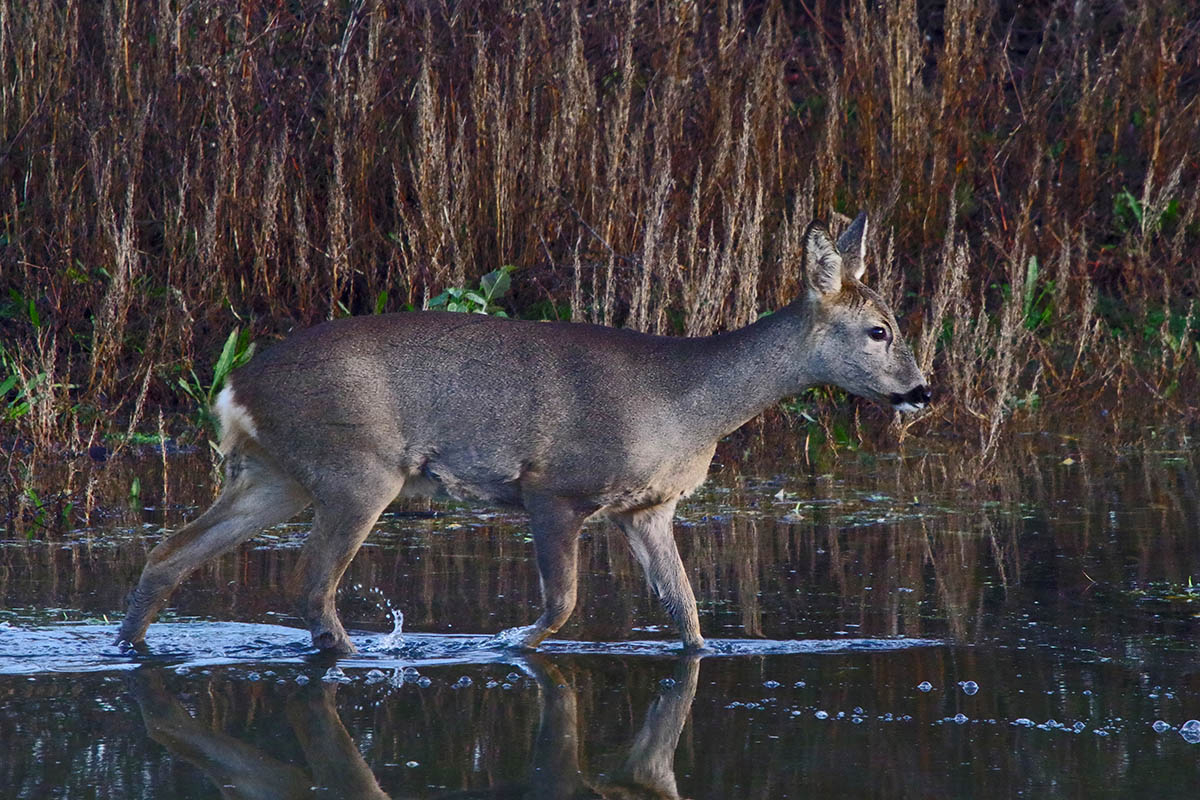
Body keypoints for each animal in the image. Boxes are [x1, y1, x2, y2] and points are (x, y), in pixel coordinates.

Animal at [114, 211, 926, 652]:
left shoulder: (649, 508)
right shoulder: (554, 488)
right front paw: (505, 647)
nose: (922, 390)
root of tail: (233, 389)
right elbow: (560, 604)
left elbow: (688, 614)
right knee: (311, 584)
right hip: (357, 469)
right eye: (879, 330)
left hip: (276, 474)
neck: (689, 404)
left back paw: (130, 646)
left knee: (170, 553)